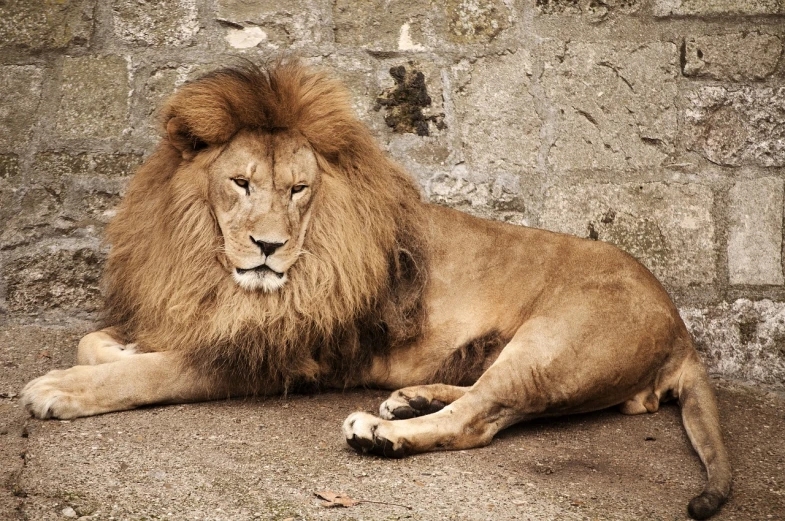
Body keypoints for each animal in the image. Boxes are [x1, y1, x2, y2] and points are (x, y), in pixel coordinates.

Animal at [21, 60, 732, 516]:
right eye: (241, 183)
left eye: (298, 189)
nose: (268, 247)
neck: (211, 262)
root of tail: (681, 327)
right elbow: (97, 342)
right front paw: (118, 348)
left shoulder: (274, 356)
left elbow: (150, 373)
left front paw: (62, 389)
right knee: (485, 395)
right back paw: (409, 400)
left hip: (556, 341)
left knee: (480, 419)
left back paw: (383, 432)